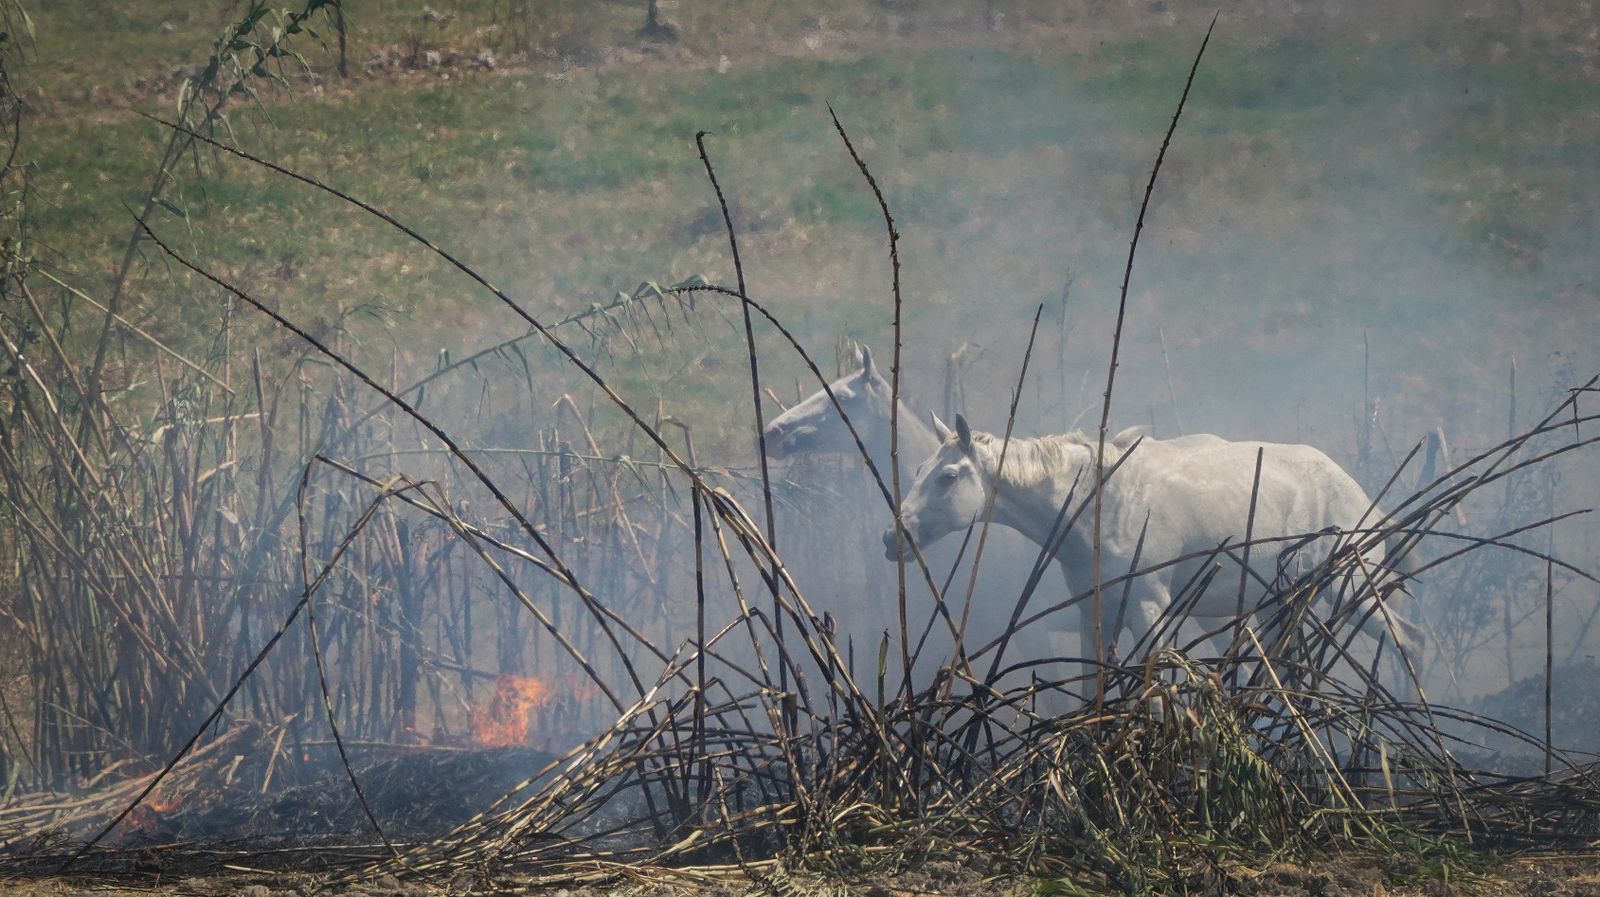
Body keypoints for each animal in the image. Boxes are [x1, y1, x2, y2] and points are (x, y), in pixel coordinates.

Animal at [883, 413, 1424, 679]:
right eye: (919, 470)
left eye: (950, 476)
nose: (894, 537)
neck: (1098, 501)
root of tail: (1362, 496)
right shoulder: (1096, 615)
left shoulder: (1150, 611)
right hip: (1283, 602)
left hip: (1355, 589)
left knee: (1408, 645)